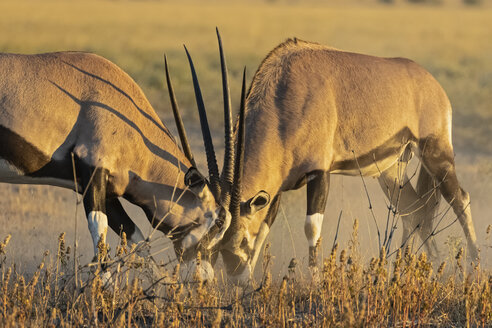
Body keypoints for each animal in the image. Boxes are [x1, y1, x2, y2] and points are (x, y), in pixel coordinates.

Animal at [0, 51, 233, 276]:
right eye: (218, 223)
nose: (206, 278)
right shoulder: (94, 173)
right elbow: (100, 235)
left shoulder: (104, 191)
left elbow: (134, 236)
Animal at [195, 37, 476, 280]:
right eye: (215, 243)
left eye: (241, 239)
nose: (236, 278)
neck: (283, 97)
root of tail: (431, 82)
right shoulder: (278, 188)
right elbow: (265, 227)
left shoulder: (319, 173)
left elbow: (312, 228)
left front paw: (315, 282)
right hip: (391, 171)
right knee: (413, 210)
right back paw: (404, 269)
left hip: (436, 153)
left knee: (460, 199)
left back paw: (474, 267)